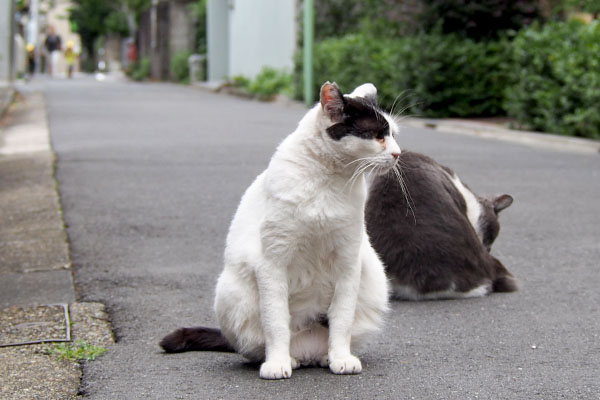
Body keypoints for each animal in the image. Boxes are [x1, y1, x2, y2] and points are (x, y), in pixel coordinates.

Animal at [162, 82, 400, 378]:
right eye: (377, 136)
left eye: (393, 135)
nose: (397, 154)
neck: (328, 182)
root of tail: (307, 352)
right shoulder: (272, 261)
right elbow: (275, 320)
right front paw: (276, 363)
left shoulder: (348, 261)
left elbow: (342, 317)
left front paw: (341, 358)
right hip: (230, 292)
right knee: (259, 343)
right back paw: (288, 359)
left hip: (374, 281)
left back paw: (325, 357)